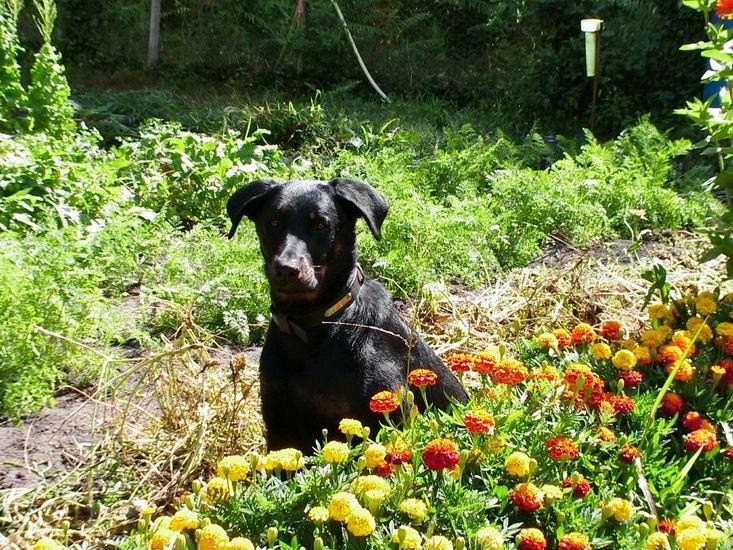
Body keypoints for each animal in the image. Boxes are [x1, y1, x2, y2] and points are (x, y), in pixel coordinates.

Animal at [229, 179, 466, 454]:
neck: (310, 329)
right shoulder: (279, 423)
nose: (286, 269)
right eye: (274, 222)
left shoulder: (386, 413)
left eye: (321, 225)